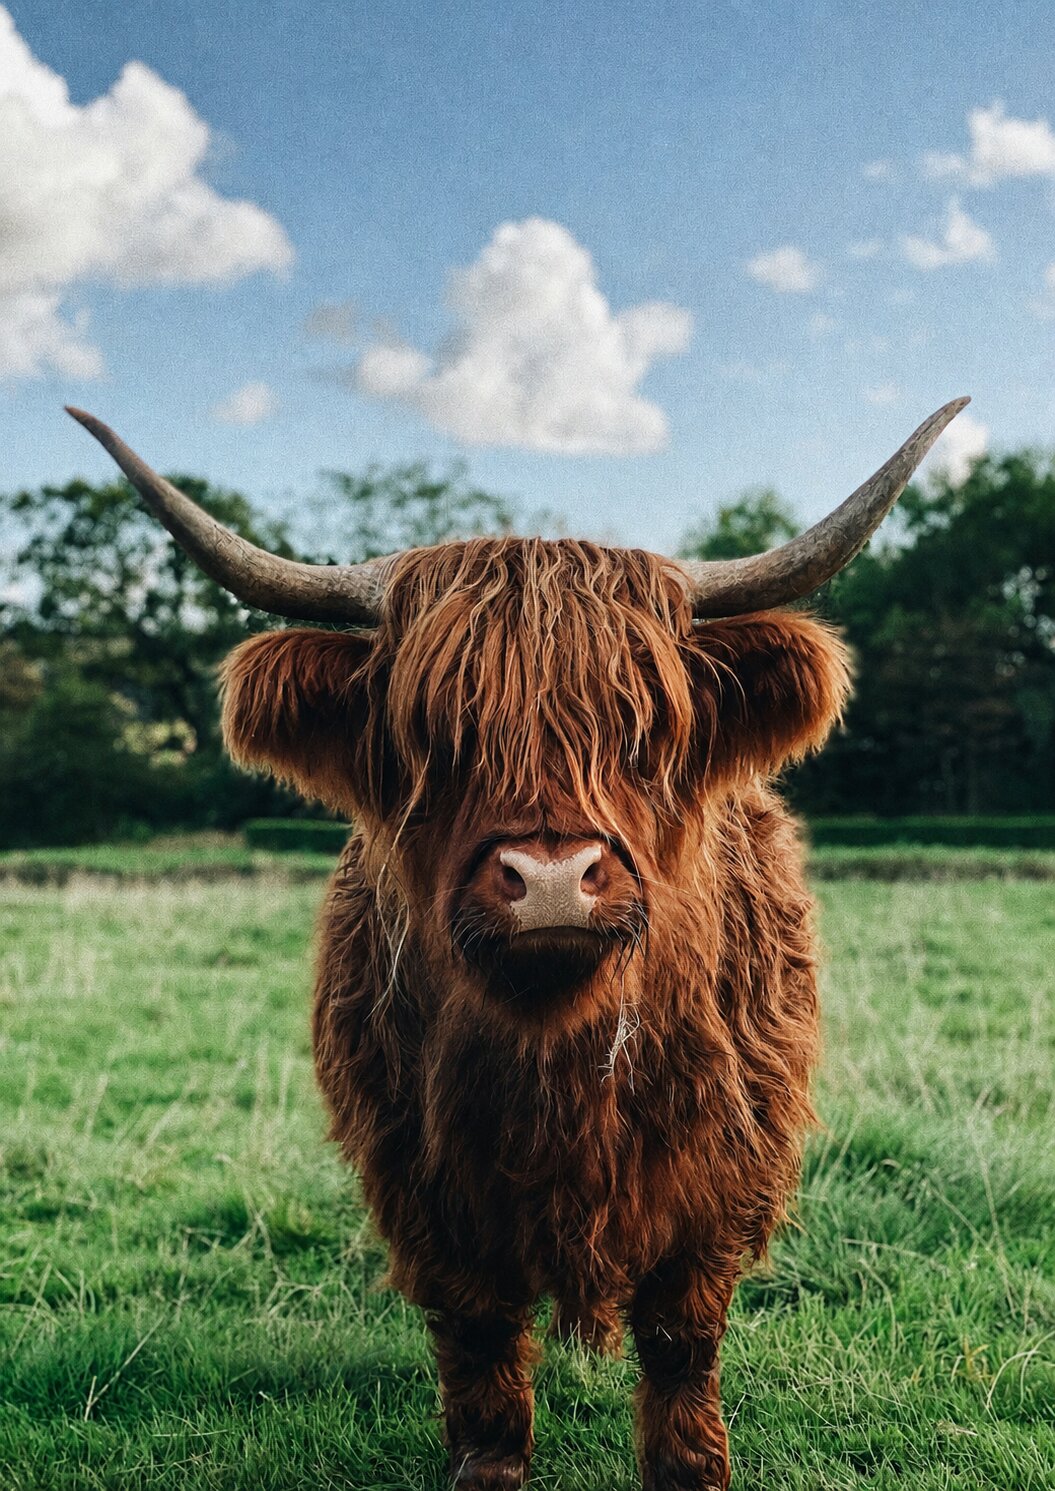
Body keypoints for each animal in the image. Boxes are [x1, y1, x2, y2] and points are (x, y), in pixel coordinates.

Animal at [68, 397, 968, 1491]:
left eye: (642, 728)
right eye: (434, 734)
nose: (548, 879)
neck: (555, 1053)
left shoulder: (722, 1173)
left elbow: (680, 1341)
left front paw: (690, 1467)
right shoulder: (423, 1181)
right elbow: (481, 1347)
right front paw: (487, 1465)